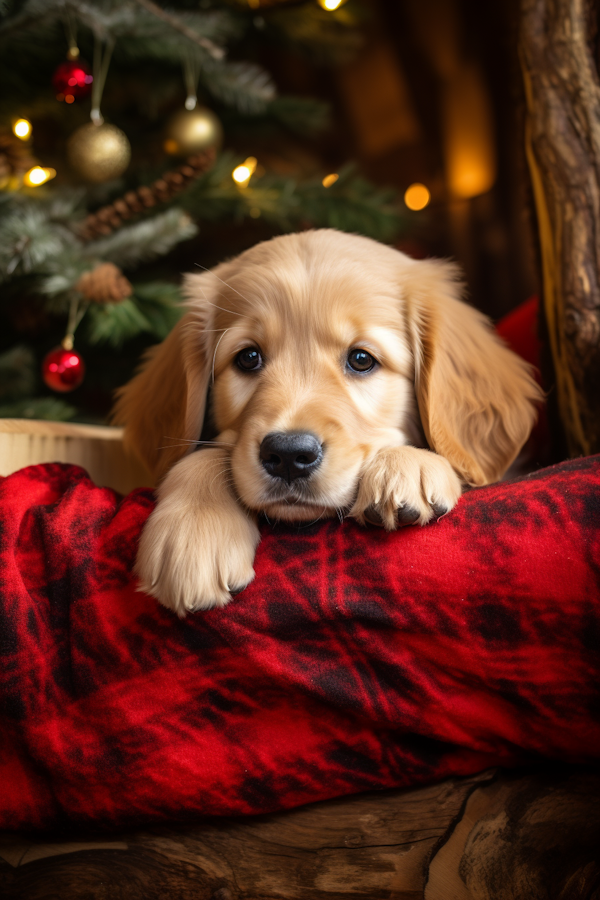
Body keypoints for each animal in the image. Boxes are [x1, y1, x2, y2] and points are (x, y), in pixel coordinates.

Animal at [111, 229, 540, 616]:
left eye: (362, 359)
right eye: (248, 357)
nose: (288, 455)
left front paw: (408, 464)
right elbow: (202, 456)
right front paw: (194, 529)